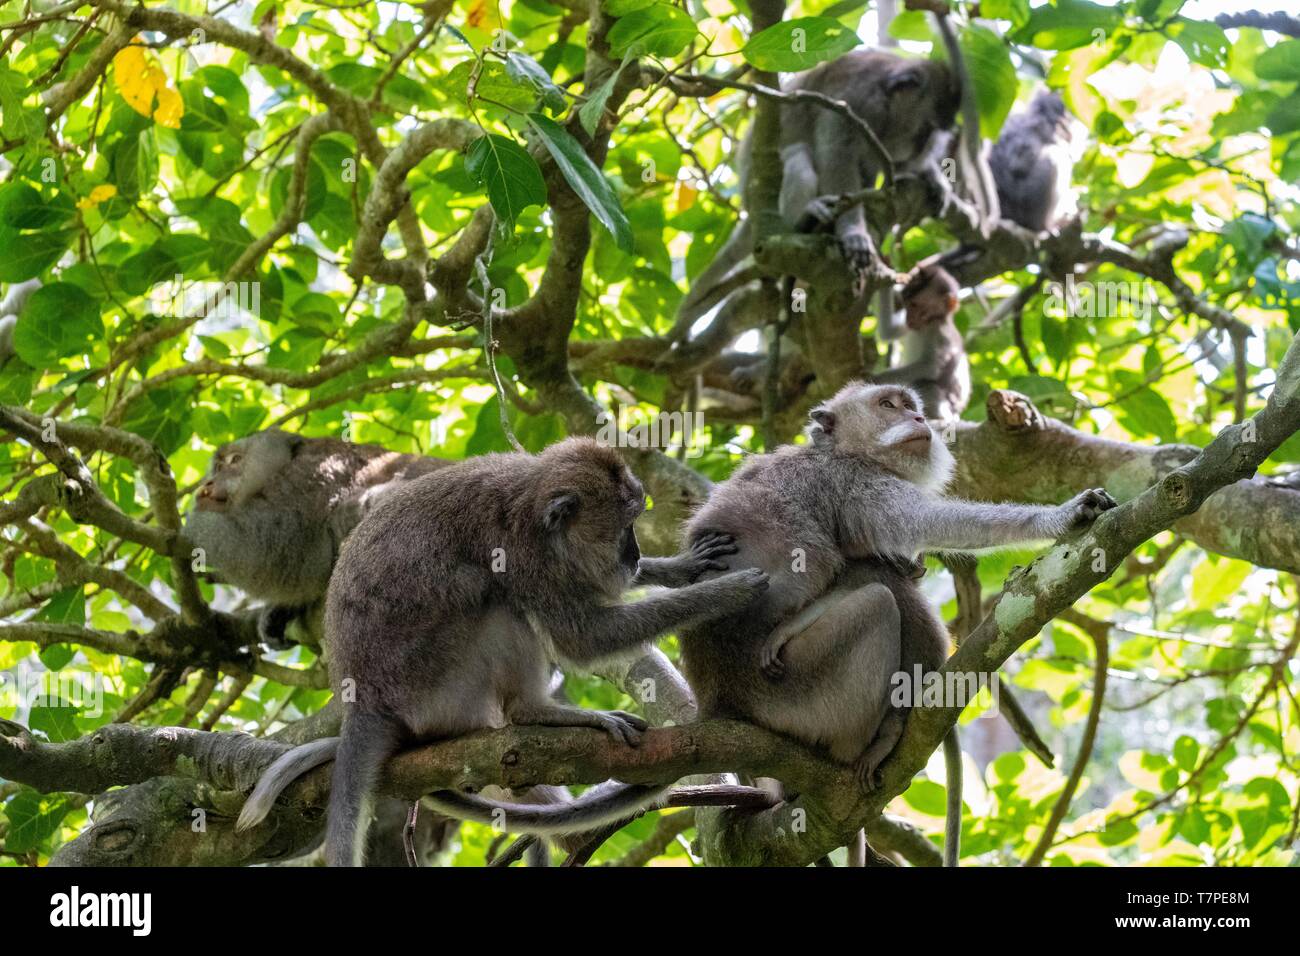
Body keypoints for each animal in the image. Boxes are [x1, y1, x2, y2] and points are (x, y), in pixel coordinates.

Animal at [182, 428, 450, 645]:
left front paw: (192, 524)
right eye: (218, 467)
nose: (209, 483)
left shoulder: (311, 475)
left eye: (235, 460)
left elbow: (277, 547)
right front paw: (280, 610)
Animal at [243, 437, 767, 866]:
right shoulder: (524, 553)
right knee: (494, 598)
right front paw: (724, 595)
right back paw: (536, 712)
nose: (635, 556)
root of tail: (363, 703)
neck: (531, 501)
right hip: (439, 688)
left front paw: (680, 568)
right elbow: (581, 637)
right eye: (624, 526)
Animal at [676, 382, 1117, 865]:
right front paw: (1060, 516)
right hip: (798, 695)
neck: (839, 451)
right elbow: (914, 532)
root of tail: (721, 700)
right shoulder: (855, 486)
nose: (920, 419)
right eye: (888, 405)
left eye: (910, 406)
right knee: (879, 602)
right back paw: (876, 738)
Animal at [873, 263, 971, 420]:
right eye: (906, 304)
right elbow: (888, 331)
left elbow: (932, 366)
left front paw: (876, 378)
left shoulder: (940, 333)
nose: (909, 318)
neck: (928, 323)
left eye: (915, 306)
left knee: (925, 384)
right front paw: (885, 271)